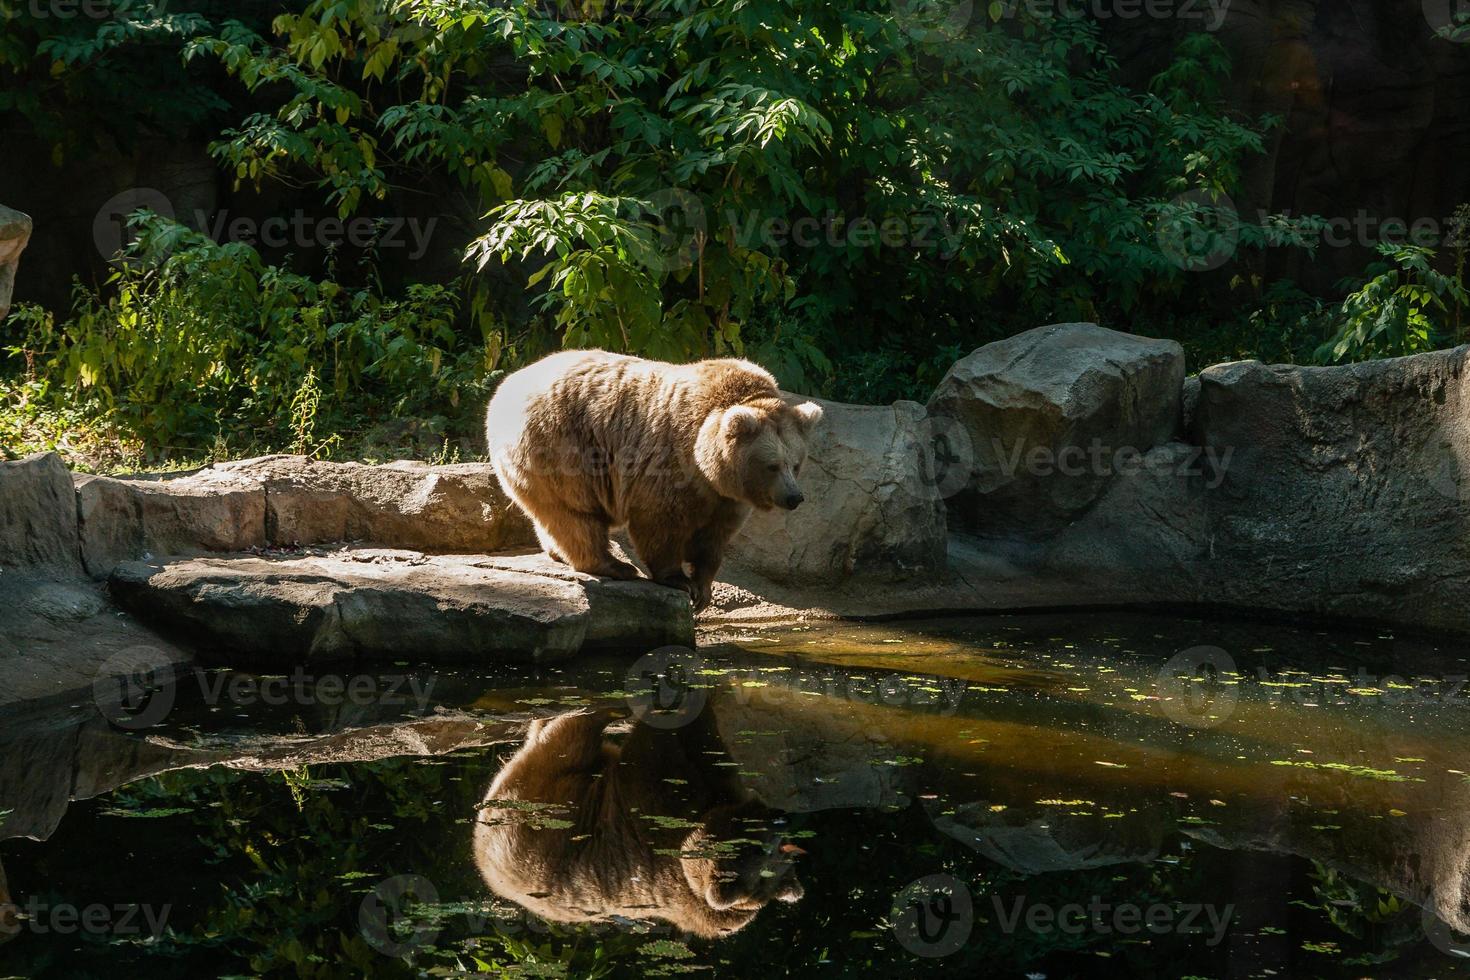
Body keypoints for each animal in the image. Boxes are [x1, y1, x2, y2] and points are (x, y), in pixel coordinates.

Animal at [473, 708, 805, 940]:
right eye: (774, 849)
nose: (784, 817)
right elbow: (706, 750)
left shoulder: (652, 814)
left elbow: (658, 746)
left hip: (540, 804)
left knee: (569, 735)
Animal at [488, 348, 823, 608]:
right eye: (772, 465)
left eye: (796, 464)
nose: (795, 497)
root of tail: (505, 387)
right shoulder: (671, 460)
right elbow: (660, 521)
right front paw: (678, 580)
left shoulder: (724, 497)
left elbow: (714, 537)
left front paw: (703, 588)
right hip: (560, 445)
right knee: (575, 513)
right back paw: (615, 565)